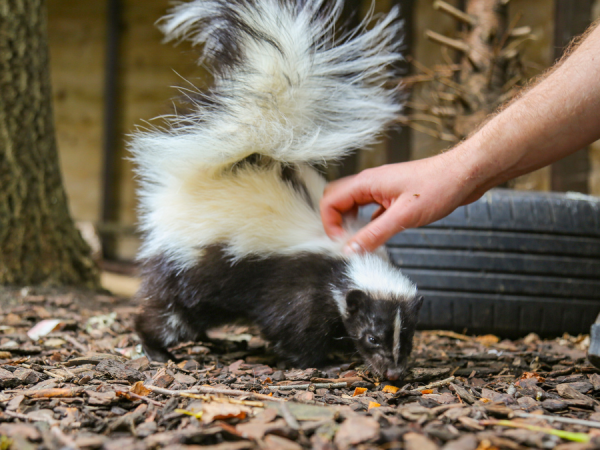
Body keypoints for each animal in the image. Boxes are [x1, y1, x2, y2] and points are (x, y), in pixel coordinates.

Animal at [131, 0, 422, 382]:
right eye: (372, 336)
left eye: (408, 336)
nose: (393, 373)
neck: (348, 255)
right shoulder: (296, 282)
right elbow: (293, 326)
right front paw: (323, 362)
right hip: (191, 261)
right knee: (169, 310)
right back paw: (157, 349)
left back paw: (208, 339)